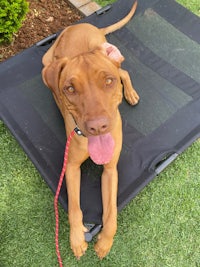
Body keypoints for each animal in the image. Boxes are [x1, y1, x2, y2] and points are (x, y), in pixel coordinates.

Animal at [42, 0, 139, 260]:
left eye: (108, 81)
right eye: (70, 88)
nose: (97, 127)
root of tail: (84, 25)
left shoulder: (111, 170)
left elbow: (111, 212)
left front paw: (105, 241)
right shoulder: (71, 167)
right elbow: (75, 208)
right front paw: (76, 237)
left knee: (124, 70)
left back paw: (131, 93)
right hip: (46, 60)